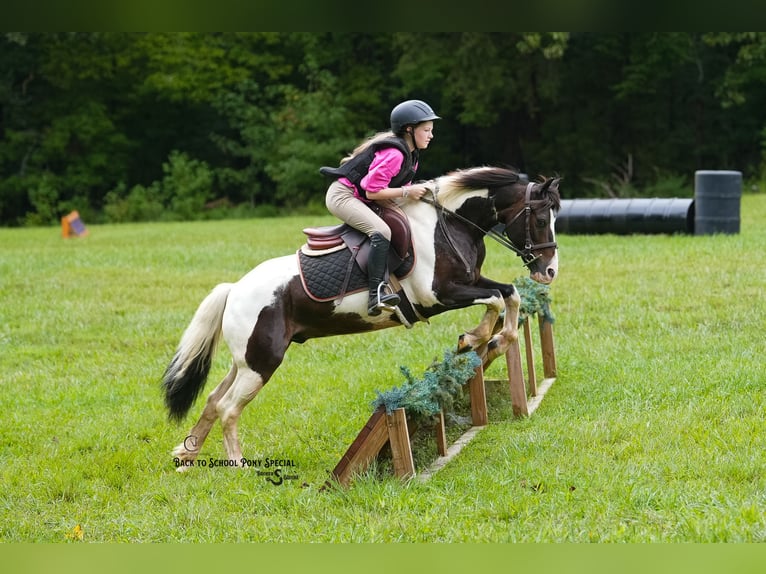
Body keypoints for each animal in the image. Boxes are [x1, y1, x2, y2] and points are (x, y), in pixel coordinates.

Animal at [162, 166, 561, 467]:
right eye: (542, 219)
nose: (549, 271)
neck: (448, 224)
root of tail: (234, 289)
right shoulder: (439, 295)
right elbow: (495, 299)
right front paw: (478, 338)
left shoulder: (469, 282)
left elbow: (507, 294)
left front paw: (491, 340)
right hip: (262, 362)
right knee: (228, 408)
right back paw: (237, 464)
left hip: (246, 360)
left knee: (213, 399)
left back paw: (187, 454)